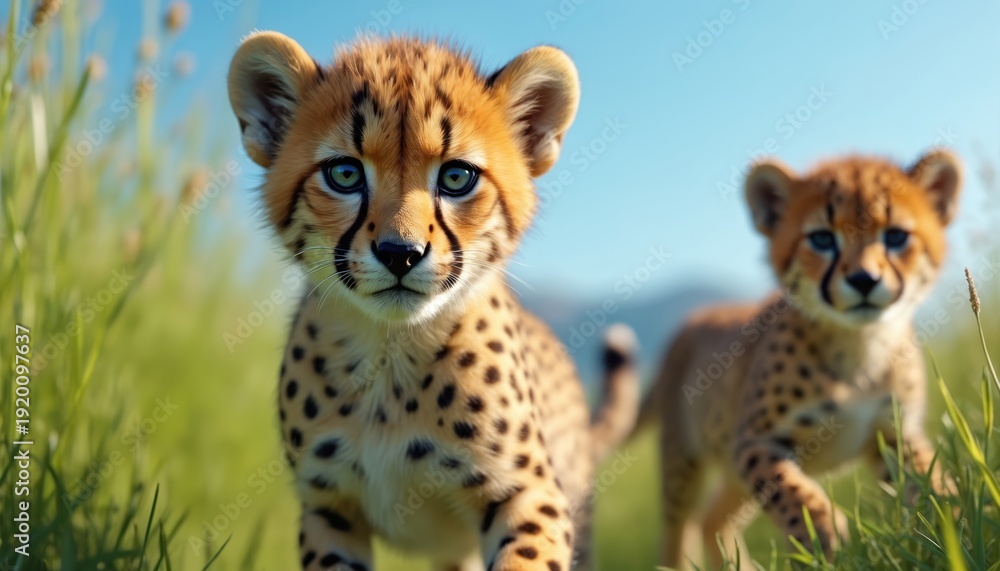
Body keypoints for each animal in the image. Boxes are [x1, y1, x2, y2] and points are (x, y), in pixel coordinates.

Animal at [226, 32, 640, 571]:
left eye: (457, 177)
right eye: (344, 174)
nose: (399, 254)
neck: (390, 356)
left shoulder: (529, 493)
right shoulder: (328, 507)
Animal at [638, 150, 962, 569]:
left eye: (896, 236)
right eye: (821, 238)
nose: (863, 280)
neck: (858, 344)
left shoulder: (894, 432)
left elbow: (930, 480)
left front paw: (956, 523)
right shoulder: (754, 442)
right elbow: (792, 493)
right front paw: (822, 537)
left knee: (712, 517)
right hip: (683, 459)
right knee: (676, 530)